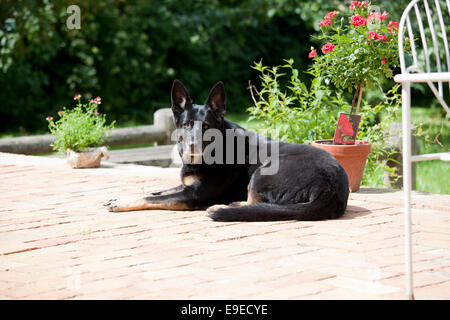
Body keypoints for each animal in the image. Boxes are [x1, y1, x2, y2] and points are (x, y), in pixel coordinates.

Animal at [104, 80, 348, 221]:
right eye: (186, 124)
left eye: (206, 127)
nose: (192, 146)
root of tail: (332, 188)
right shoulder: (185, 186)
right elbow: (158, 192)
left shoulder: (191, 196)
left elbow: (151, 197)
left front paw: (121, 203)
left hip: (262, 172)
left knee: (260, 204)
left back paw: (228, 206)